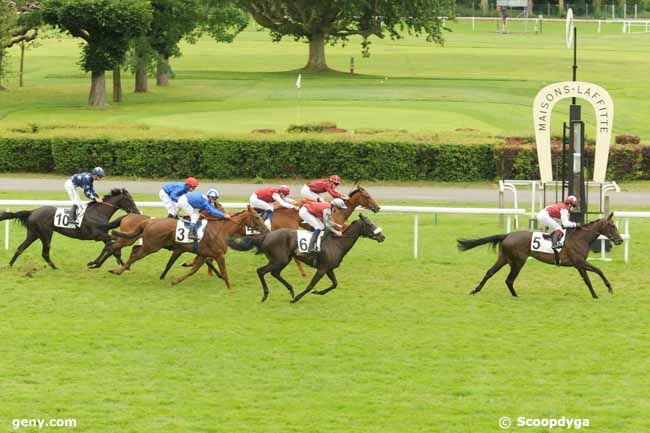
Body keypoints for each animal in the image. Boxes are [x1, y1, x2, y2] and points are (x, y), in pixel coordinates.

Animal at [0, 187, 139, 268]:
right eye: (130, 200)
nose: (137, 212)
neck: (98, 213)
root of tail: (32, 211)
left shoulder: (103, 235)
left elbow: (110, 246)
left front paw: (120, 262)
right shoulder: (98, 235)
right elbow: (111, 245)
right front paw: (96, 263)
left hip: (33, 234)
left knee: (20, 248)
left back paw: (10, 265)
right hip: (46, 234)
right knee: (44, 253)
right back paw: (55, 267)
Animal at [109, 204, 266, 288]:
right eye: (257, 217)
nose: (266, 229)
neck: (221, 230)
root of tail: (149, 221)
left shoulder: (203, 254)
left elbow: (193, 269)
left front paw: (175, 281)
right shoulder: (218, 254)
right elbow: (223, 271)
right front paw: (229, 287)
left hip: (148, 244)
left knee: (133, 251)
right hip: (150, 246)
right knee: (133, 255)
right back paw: (118, 270)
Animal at [227, 212, 384, 300]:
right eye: (370, 224)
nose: (383, 237)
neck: (337, 243)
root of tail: (265, 236)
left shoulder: (329, 268)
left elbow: (334, 284)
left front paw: (319, 292)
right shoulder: (322, 268)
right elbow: (310, 285)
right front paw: (297, 298)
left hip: (283, 260)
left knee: (274, 273)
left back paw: (290, 290)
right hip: (280, 260)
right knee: (261, 271)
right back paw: (267, 294)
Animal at [456, 213, 624, 300]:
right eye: (612, 226)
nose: (620, 240)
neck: (581, 238)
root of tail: (507, 235)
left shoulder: (579, 264)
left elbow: (590, 278)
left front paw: (598, 293)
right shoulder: (579, 262)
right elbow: (596, 272)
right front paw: (606, 290)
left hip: (503, 259)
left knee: (490, 273)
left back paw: (475, 290)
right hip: (518, 261)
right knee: (509, 279)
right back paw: (515, 295)